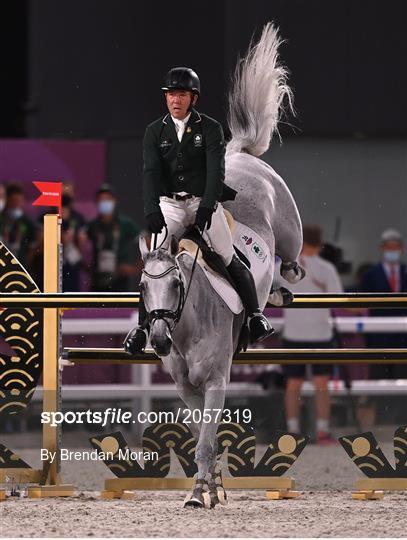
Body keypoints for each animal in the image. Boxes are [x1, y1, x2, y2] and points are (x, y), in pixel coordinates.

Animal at [139, 22, 304, 510]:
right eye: (143, 289)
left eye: (177, 285)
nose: (158, 339)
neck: (186, 326)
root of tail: (241, 154)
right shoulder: (186, 387)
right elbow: (201, 438)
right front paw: (211, 486)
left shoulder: (215, 381)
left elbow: (209, 439)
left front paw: (199, 494)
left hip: (288, 226)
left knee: (290, 260)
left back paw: (282, 287)